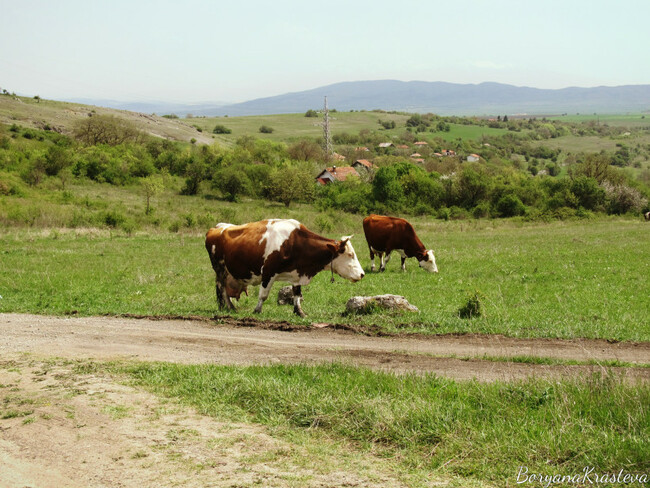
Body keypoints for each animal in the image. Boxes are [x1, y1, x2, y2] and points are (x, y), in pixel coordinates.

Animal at [204, 220, 362, 316]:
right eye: (350, 254)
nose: (362, 274)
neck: (294, 242)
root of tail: (217, 227)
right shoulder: (268, 273)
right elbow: (263, 295)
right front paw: (257, 310)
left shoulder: (297, 274)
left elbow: (297, 294)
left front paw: (299, 312)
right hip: (220, 269)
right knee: (222, 288)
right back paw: (230, 307)